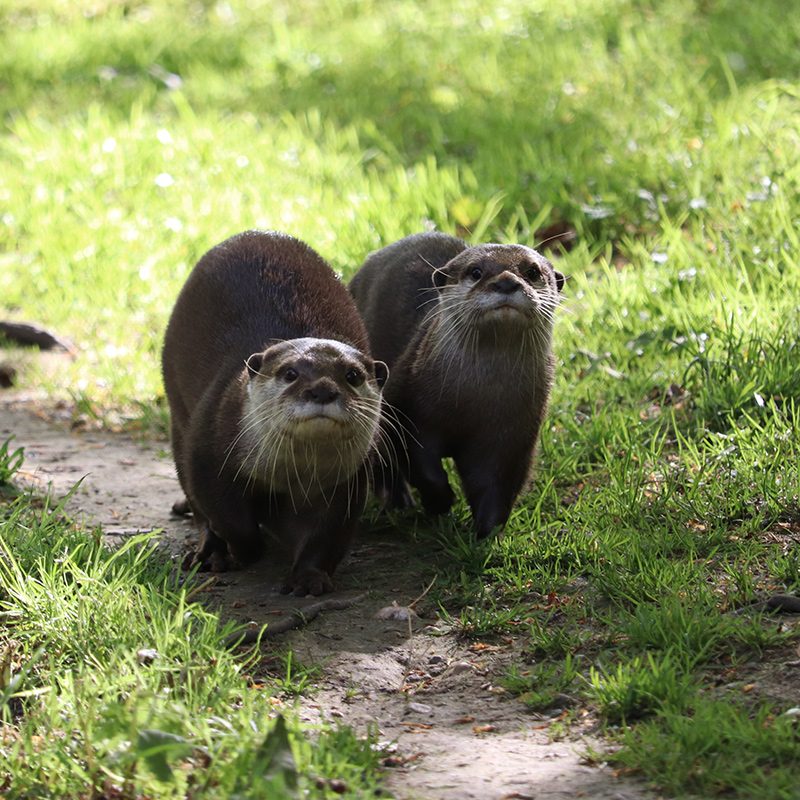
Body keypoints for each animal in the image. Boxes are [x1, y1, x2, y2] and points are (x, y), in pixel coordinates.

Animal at [162, 230, 388, 592]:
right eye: (290, 373)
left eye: (352, 375)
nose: (322, 389)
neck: (288, 475)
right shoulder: (207, 452)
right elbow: (224, 515)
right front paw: (245, 551)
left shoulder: (345, 483)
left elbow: (326, 536)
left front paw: (308, 579)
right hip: (179, 416)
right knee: (197, 505)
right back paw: (211, 555)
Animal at [348, 234, 564, 540]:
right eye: (476, 271)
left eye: (532, 272)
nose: (507, 282)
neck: (470, 405)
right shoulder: (406, 407)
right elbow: (420, 463)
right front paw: (440, 502)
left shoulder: (514, 435)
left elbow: (497, 483)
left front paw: (486, 534)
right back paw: (398, 501)